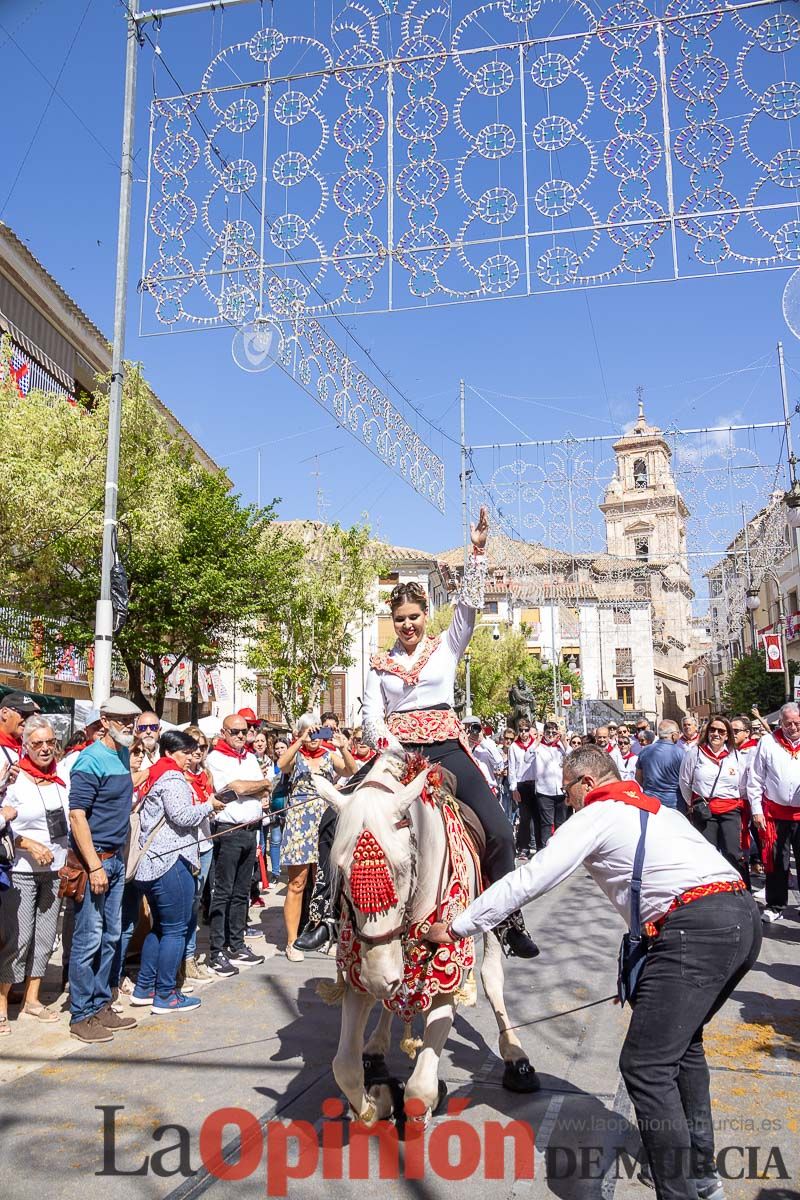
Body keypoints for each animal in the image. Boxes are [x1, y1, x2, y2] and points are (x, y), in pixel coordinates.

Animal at [311, 753, 537, 1128]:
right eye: (340, 870)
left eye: (403, 867)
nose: (379, 977)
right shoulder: (358, 966)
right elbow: (344, 1067)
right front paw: (374, 1105)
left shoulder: (448, 971)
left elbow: (419, 1089)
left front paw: (426, 1100)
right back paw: (376, 1046)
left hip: (494, 908)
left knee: (492, 977)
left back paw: (516, 1057)